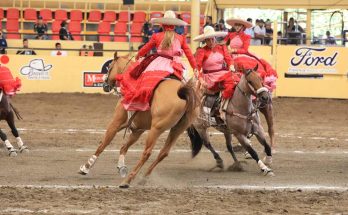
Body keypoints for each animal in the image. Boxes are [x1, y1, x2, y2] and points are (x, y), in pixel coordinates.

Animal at [79, 52, 198, 188]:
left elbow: (103, 144)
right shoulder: (137, 130)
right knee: (163, 153)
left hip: (156, 129)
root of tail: (183, 94)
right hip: (177, 129)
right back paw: (143, 178)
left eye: (109, 67)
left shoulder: (116, 122)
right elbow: (124, 147)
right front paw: (121, 167)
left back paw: (128, 180)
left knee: (147, 153)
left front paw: (86, 167)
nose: (105, 85)